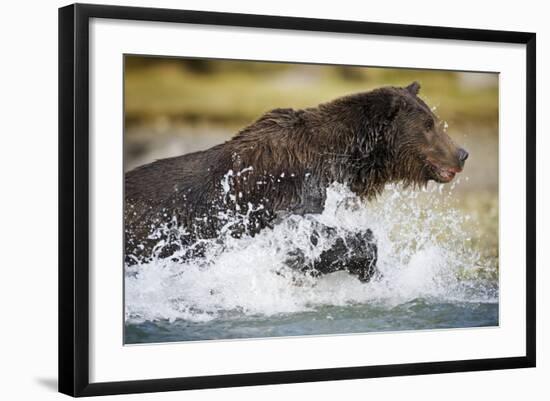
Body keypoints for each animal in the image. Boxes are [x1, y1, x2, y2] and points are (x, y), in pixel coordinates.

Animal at [126, 81, 470, 282]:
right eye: (428, 124)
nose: (462, 153)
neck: (342, 158)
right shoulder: (287, 194)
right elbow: (307, 237)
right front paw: (365, 265)